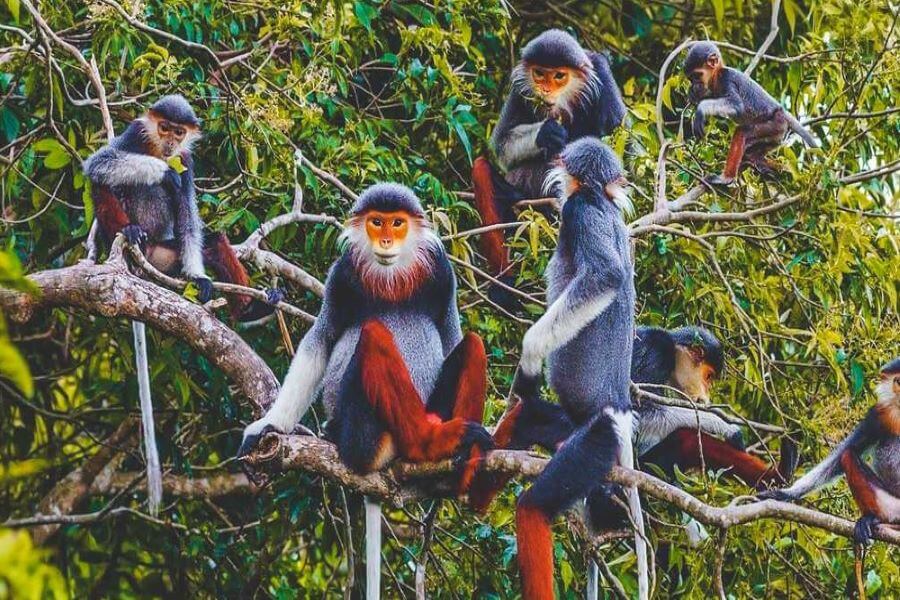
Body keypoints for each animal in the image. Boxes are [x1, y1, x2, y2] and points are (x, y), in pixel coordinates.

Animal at [85, 95, 284, 324]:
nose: (171, 142)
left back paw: (250, 310)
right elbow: (98, 161)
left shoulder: (186, 160)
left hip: (164, 259)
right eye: (164, 128)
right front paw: (166, 172)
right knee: (99, 183)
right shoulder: (135, 131)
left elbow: (188, 221)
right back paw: (129, 230)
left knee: (215, 242)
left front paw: (198, 277)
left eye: (179, 132)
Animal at [684, 41, 824, 185]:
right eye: (690, 79)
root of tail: (781, 112)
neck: (716, 77)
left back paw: (726, 178)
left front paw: (700, 109)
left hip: (774, 125)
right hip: (776, 135)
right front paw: (694, 95)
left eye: (697, 76)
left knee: (741, 132)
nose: (694, 85)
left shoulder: (726, 79)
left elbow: (736, 105)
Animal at [760, 358, 900, 548]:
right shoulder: (879, 413)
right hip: (891, 505)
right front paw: (785, 494)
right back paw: (874, 519)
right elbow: (840, 456)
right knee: (848, 455)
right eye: (898, 381)